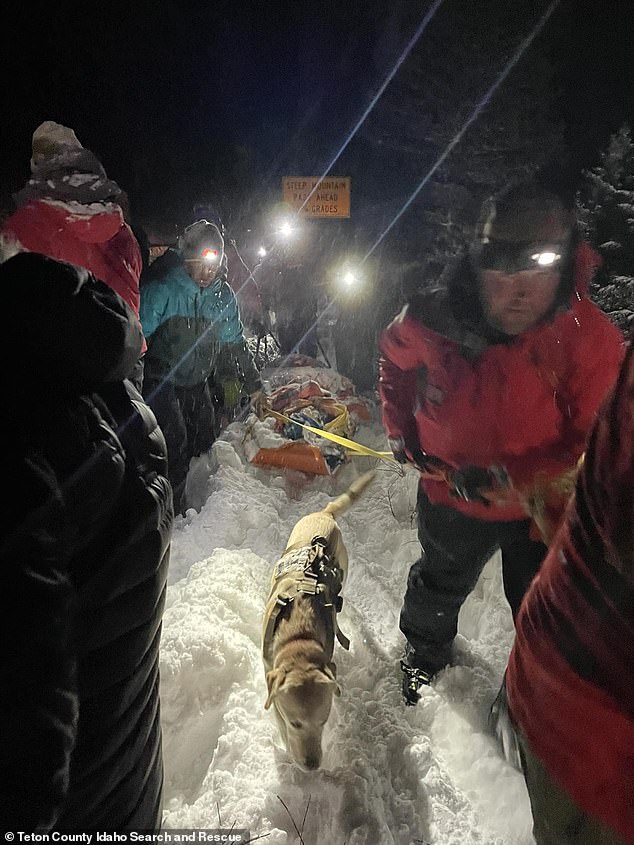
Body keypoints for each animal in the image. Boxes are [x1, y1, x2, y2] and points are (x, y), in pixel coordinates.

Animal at [262, 472, 376, 768]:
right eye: (296, 723)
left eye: (324, 721)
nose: (312, 766)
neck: (299, 637)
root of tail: (325, 513)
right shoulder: (269, 672)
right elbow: (276, 711)